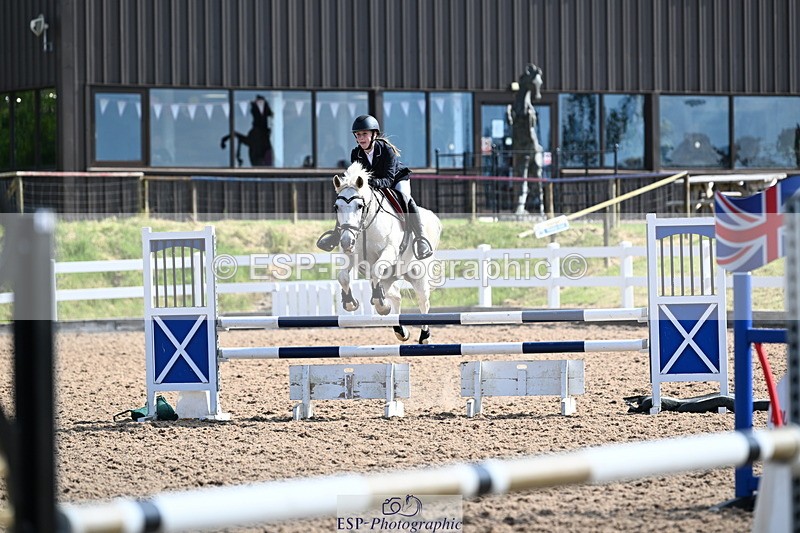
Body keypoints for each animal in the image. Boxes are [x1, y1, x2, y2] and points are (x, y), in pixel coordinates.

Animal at [331, 162, 442, 344]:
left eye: (359, 206)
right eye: (336, 207)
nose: (346, 242)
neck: (366, 226)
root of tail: (433, 217)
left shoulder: (389, 252)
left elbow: (376, 269)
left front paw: (381, 305)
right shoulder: (351, 256)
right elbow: (343, 277)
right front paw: (350, 302)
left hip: (418, 274)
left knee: (423, 302)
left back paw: (424, 337)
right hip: (390, 276)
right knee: (395, 296)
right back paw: (400, 330)